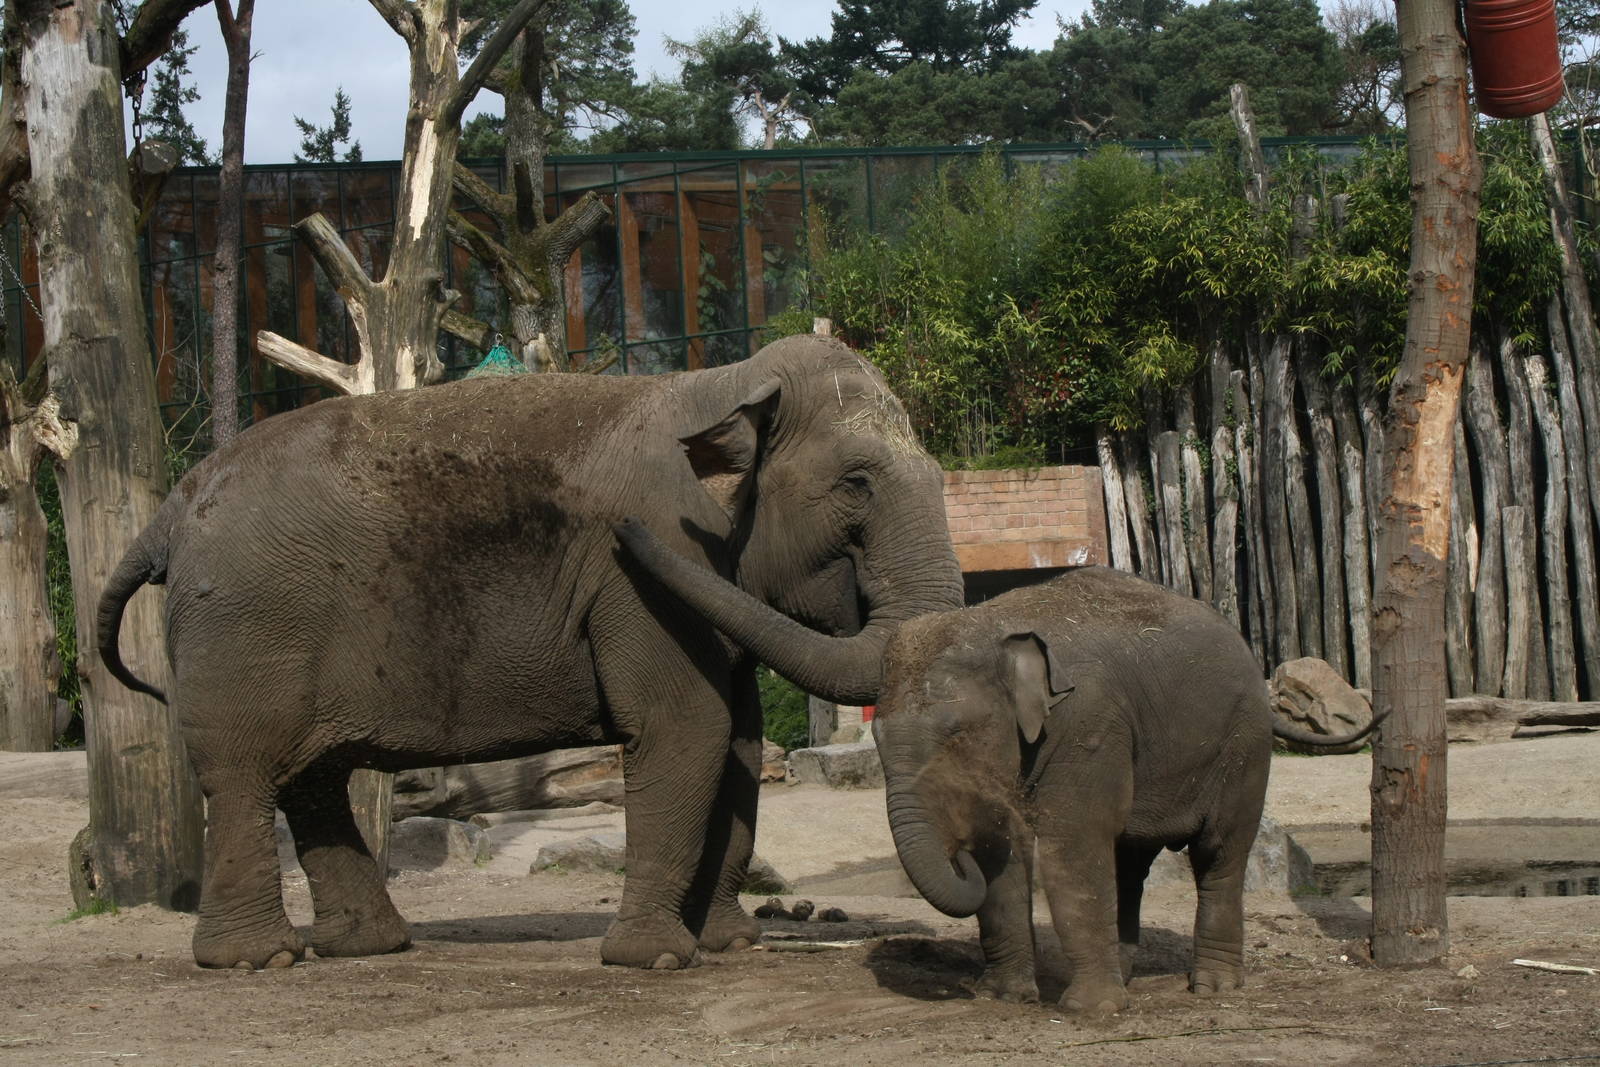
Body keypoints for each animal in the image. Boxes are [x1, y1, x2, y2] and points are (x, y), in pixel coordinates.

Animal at [97, 333, 963, 972]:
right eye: (857, 484)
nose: (621, 535)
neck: (720, 382)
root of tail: (171, 510)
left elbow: (740, 744)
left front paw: (729, 945)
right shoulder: (640, 587)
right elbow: (686, 729)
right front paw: (653, 960)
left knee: (312, 778)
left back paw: (366, 946)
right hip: (245, 625)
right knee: (246, 771)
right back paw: (258, 960)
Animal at [858, 566, 1381, 1014]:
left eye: (954, 734)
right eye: (876, 737)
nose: (955, 853)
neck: (996, 622)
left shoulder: (1090, 723)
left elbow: (1073, 845)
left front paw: (1089, 1011)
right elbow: (1002, 851)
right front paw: (1004, 997)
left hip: (1244, 744)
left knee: (1220, 853)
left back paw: (1213, 987)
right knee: (1130, 863)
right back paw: (1126, 974)